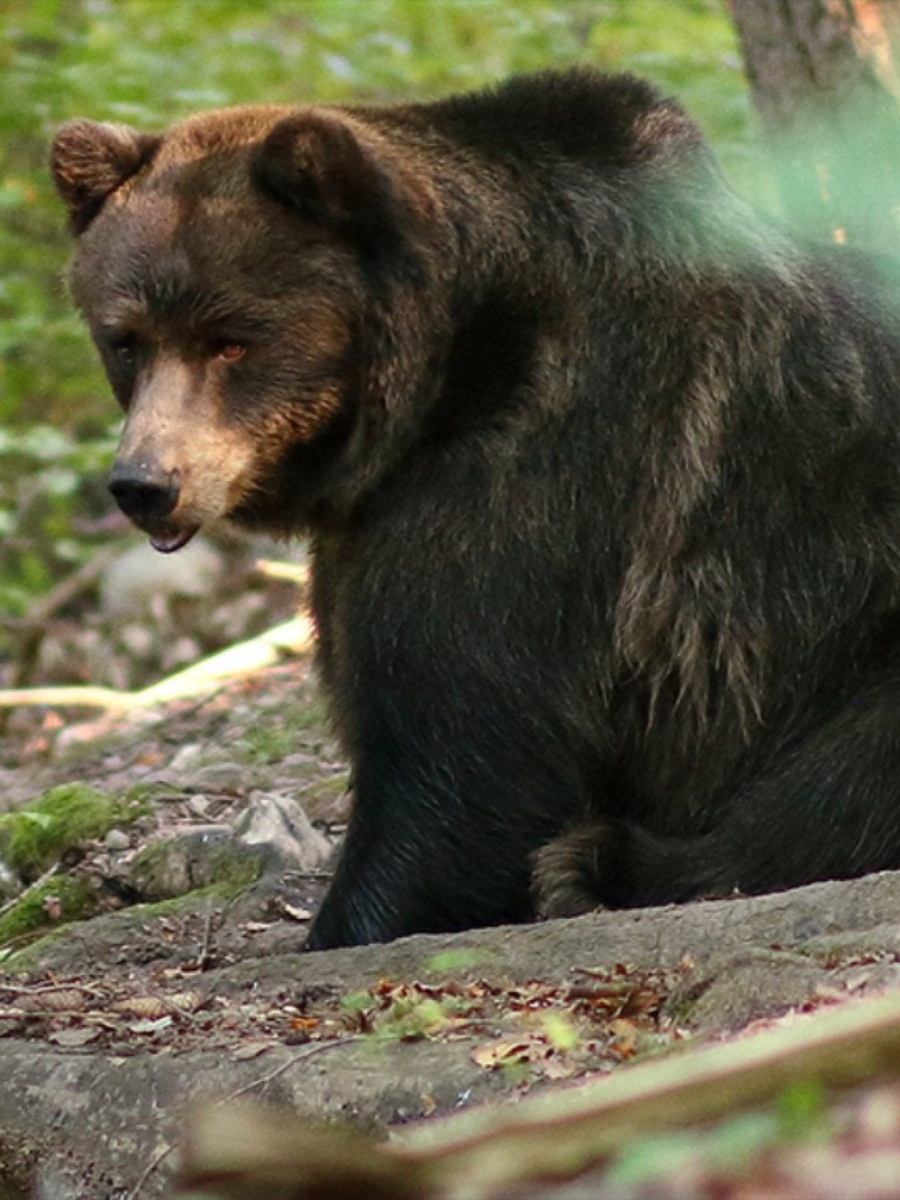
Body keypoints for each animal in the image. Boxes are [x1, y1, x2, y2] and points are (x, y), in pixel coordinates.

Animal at [51, 68, 900, 945]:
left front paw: (353, 917)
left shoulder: (542, 468)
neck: (443, 377)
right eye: (126, 338)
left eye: (229, 338)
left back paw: (602, 864)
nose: (146, 483)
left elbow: (470, 747)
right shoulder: (372, 526)